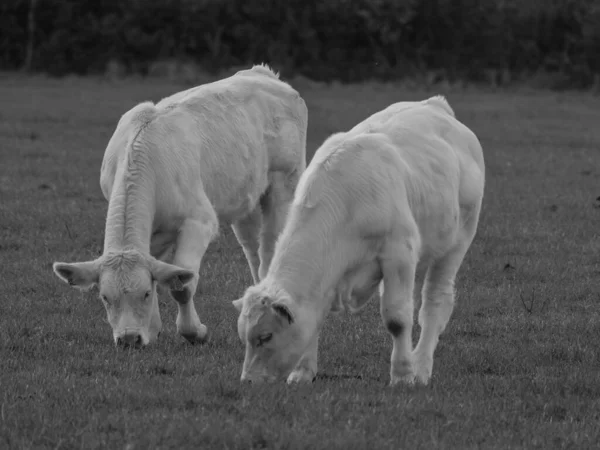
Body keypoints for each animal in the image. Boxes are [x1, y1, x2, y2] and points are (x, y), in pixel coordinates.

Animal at [50, 63, 310, 346]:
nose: (129, 339)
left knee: (271, 248)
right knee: (254, 251)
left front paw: (194, 332)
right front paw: (153, 328)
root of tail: (262, 73)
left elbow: (182, 285)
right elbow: (159, 271)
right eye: (105, 297)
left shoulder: (199, 221)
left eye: (144, 294)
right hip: (245, 201)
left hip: (285, 182)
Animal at [232, 96, 486, 384]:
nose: (248, 380)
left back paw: (421, 367)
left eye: (265, 336)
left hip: (457, 242)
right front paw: (303, 371)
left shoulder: (399, 253)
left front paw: (402, 375)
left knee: (435, 302)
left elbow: (397, 318)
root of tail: (434, 105)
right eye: (244, 338)